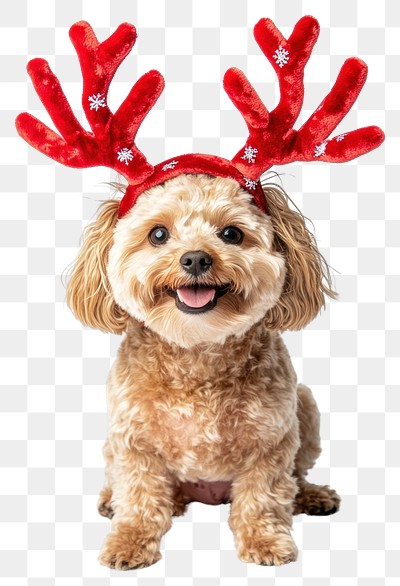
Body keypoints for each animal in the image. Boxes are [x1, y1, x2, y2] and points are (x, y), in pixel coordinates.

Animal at [65, 173, 340, 564]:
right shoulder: (133, 442)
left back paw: (311, 494)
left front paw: (265, 541)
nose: (196, 258)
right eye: (158, 234)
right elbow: (139, 497)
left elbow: (264, 497)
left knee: (295, 477)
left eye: (232, 234)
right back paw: (110, 501)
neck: (197, 353)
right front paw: (128, 541)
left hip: (306, 405)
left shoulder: (271, 441)